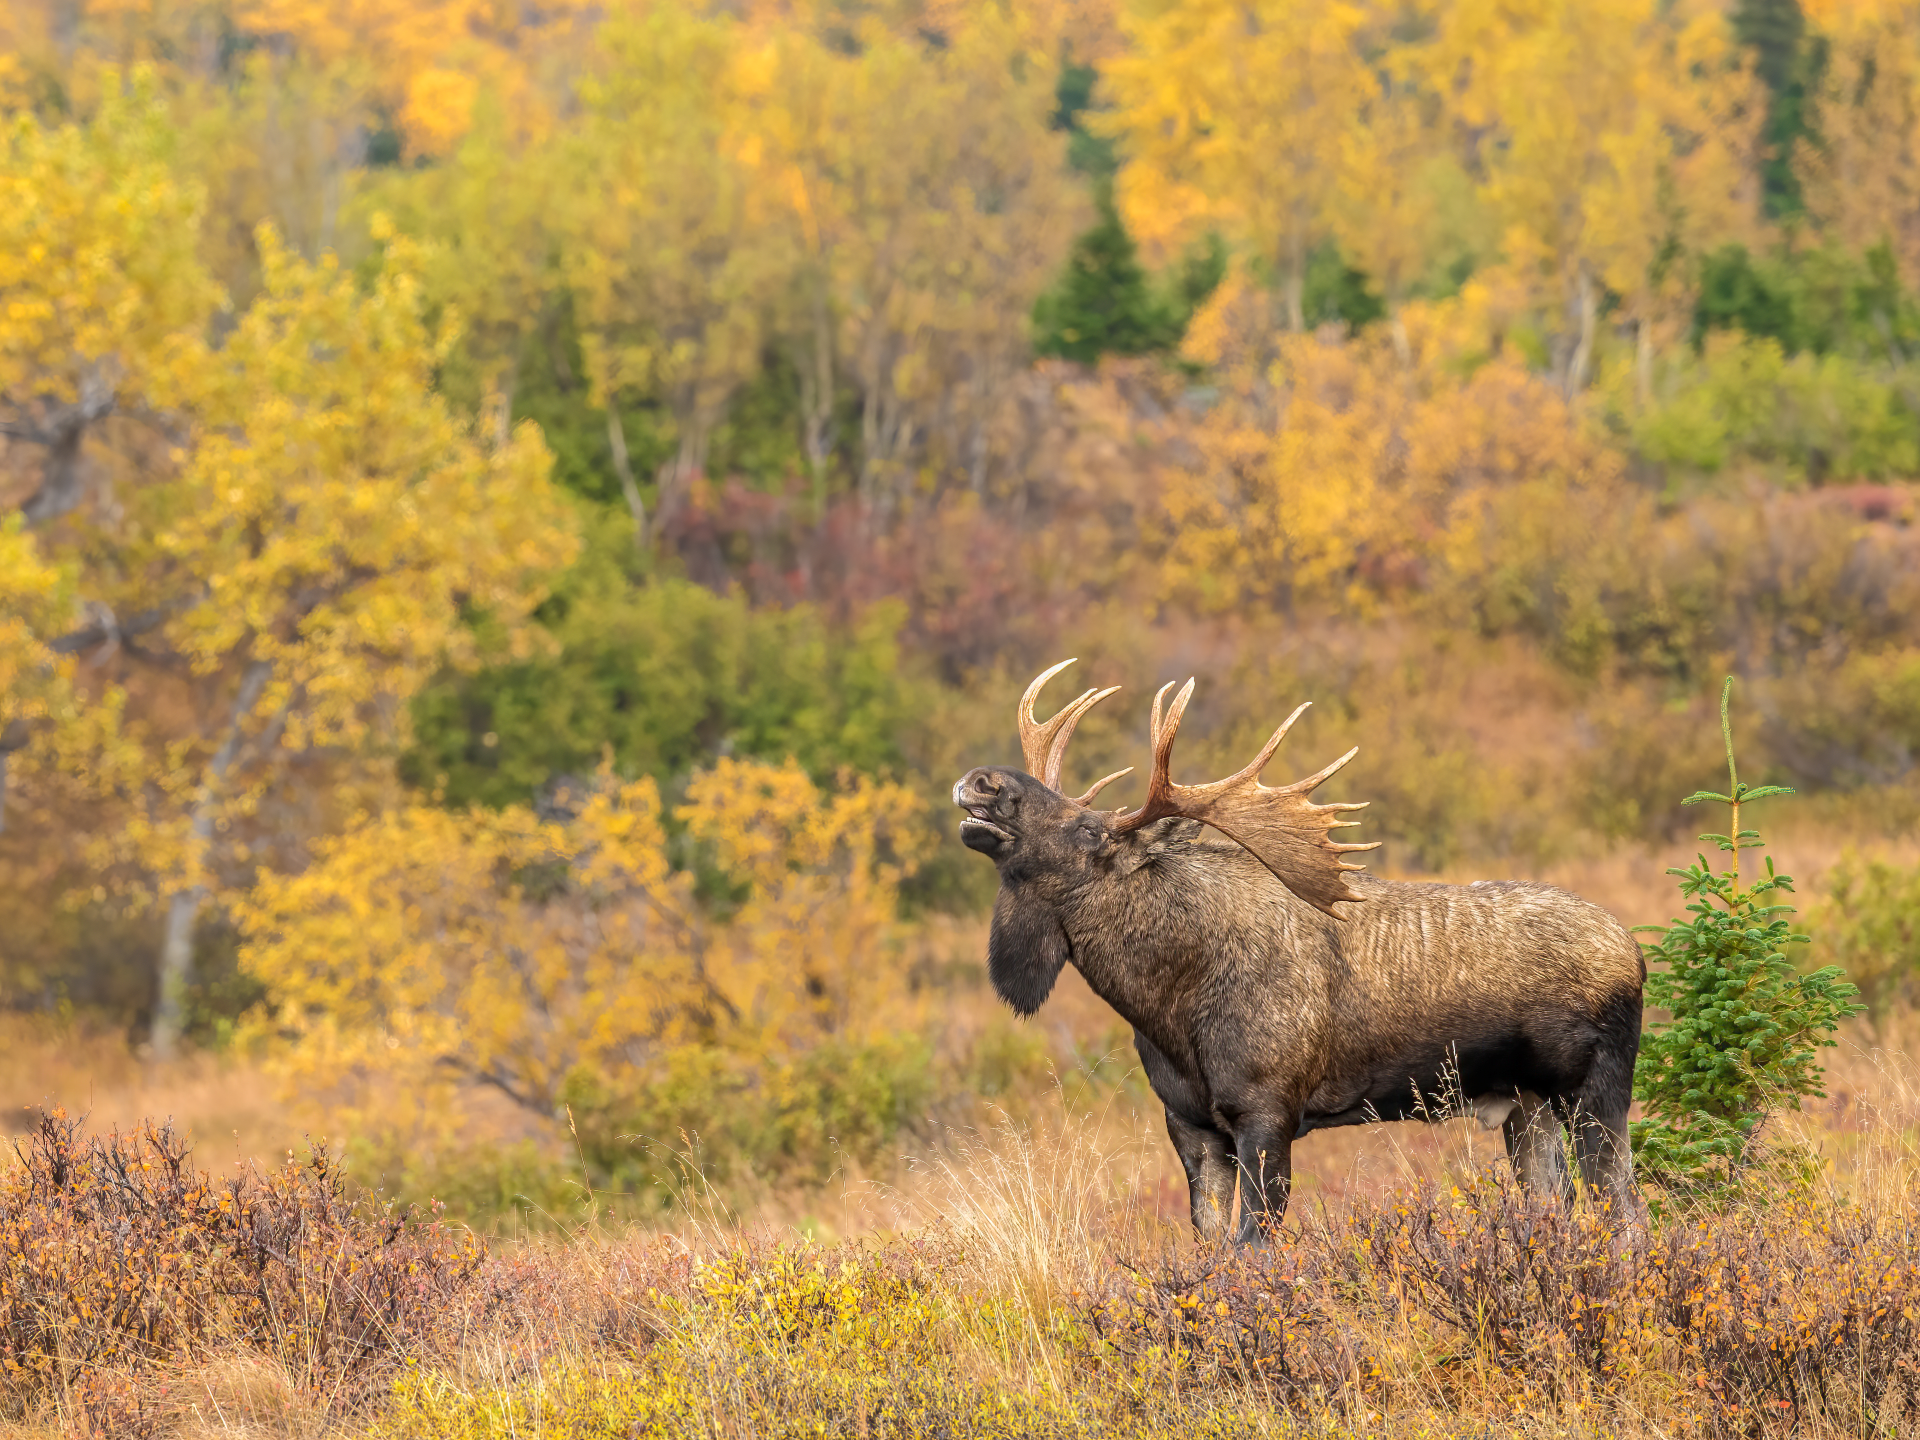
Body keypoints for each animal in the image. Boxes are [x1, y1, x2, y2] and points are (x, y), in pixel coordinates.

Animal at [953, 661, 1645, 1242]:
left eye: (1087, 828)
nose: (983, 781)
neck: (1163, 1000)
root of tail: (1637, 956)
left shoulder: (1267, 1112)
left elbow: (1255, 1246)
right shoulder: (1189, 1124)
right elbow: (1211, 1249)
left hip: (1595, 1093)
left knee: (1627, 1212)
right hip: (1527, 1108)